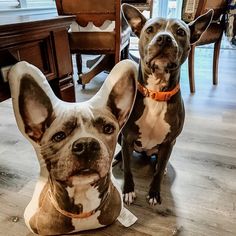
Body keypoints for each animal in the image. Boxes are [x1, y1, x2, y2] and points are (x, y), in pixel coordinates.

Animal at [120, 4, 214, 206]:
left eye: (180, 32)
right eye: (150, 29)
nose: (164, 38)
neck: (157, 92)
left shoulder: (169, 143)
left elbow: (157, 173)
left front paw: (155, 193)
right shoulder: (127, 138)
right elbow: (129, 170)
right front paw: (128, 190)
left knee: (158, 165)